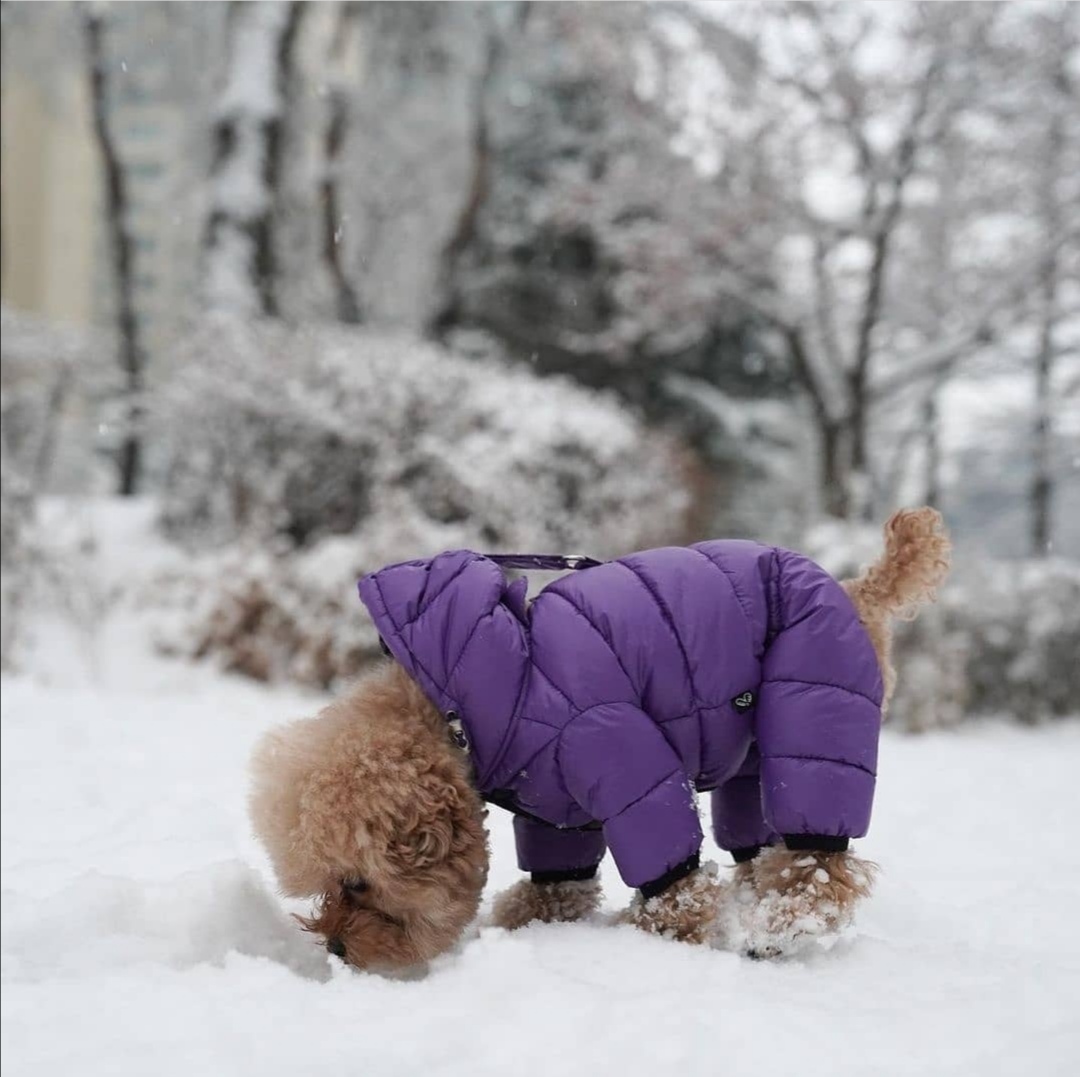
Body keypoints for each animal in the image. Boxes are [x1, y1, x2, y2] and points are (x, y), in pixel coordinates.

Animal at [248, 507, 950, 972]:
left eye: (356, 883)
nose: (336, 946)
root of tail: (858, 590)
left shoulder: (611, 748)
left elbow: (673, 877)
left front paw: (656, 933)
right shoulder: (553, 805)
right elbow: (559, 882)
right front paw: (531, 923)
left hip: (815, 706)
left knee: (820, 863)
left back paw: (775, 927)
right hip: (753, 756)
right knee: (759, 846)